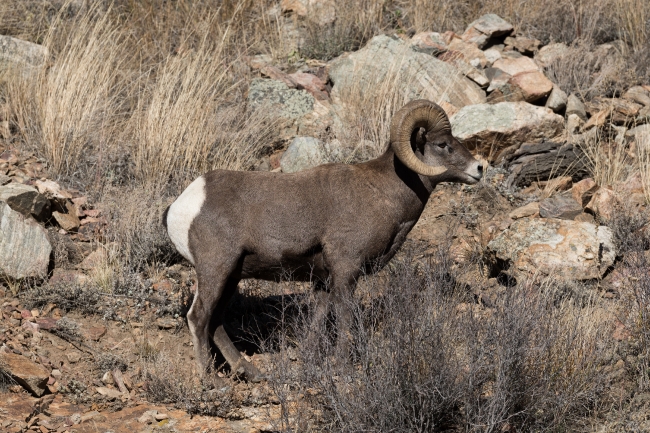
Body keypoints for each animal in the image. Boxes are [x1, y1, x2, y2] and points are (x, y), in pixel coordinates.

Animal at [165, 99, 484, 380]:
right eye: (442, 144)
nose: (479, 169)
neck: (384, 192)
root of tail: (181, 206)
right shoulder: (346, 269)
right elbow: (344, 316)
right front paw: (343, 367)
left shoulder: (323, 279)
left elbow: (318, 318)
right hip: (216, 269)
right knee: (199, 317)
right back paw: (211, 381)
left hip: (231, 276)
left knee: (216, 321)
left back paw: (251, 373)